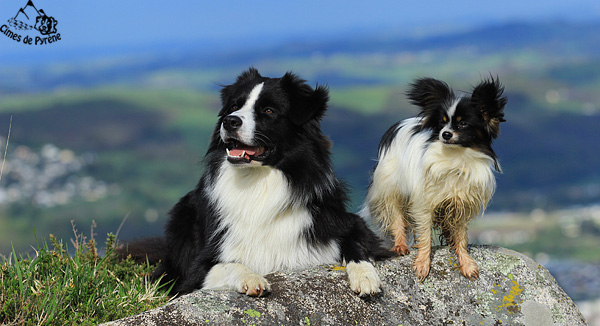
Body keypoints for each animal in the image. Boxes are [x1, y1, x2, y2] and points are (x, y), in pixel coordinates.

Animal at [150, 69, 392, 298]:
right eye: (234, 106)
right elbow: (230, 264)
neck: (260, 181)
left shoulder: (344, 223)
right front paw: (252, 278)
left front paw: (365, 276)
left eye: (268, 111)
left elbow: (356, 246)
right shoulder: (198, 269)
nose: (230, 121)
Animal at [360, 77, 506, 280]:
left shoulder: (461, 203)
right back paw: (400, 245)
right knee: (396, 216)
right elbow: (425, 234)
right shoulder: (423, 202)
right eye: (442, 123)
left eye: (463, 123)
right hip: (390, 186)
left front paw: (466, 263)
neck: (456, 156)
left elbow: (461, 236)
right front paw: (422, 263)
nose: (445, 134)